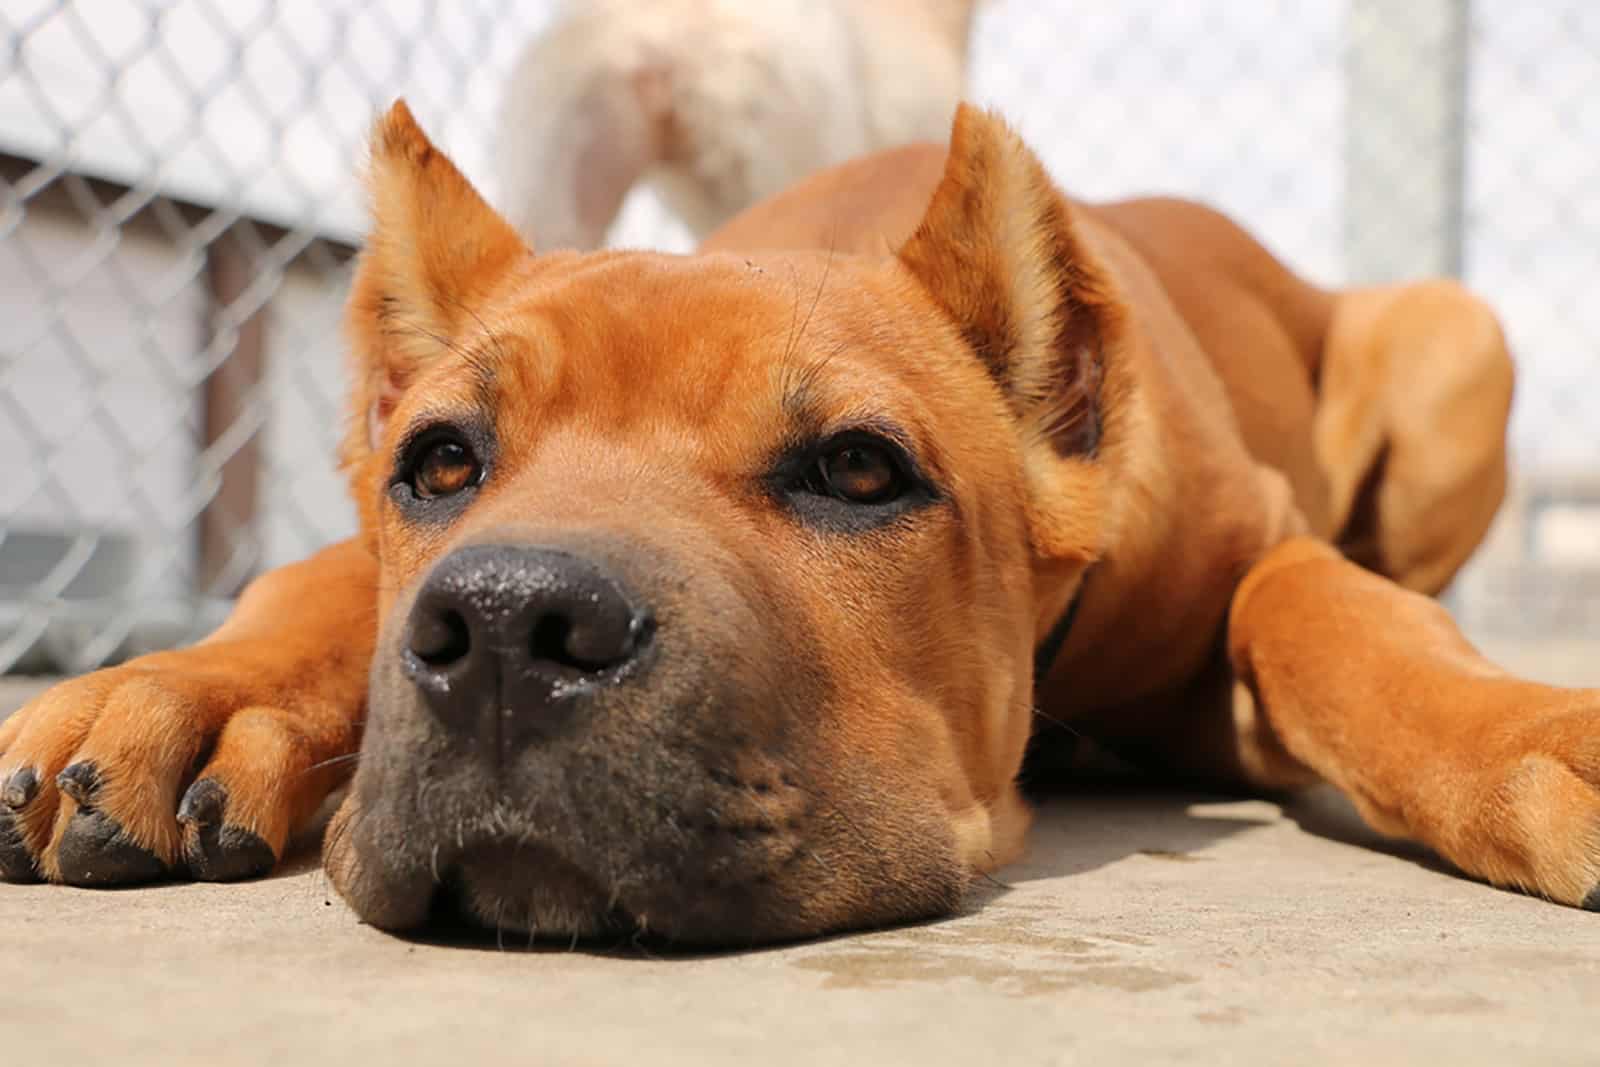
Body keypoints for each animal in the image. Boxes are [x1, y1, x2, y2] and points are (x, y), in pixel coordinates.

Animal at [3, 95, 1600, 940]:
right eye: (440, 463)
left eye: (860, 470)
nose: (511, 626)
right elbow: (320, 585)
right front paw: (186, 694)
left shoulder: (1256, 546)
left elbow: (1326, 613)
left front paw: (1525, 728)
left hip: (1456, 341)